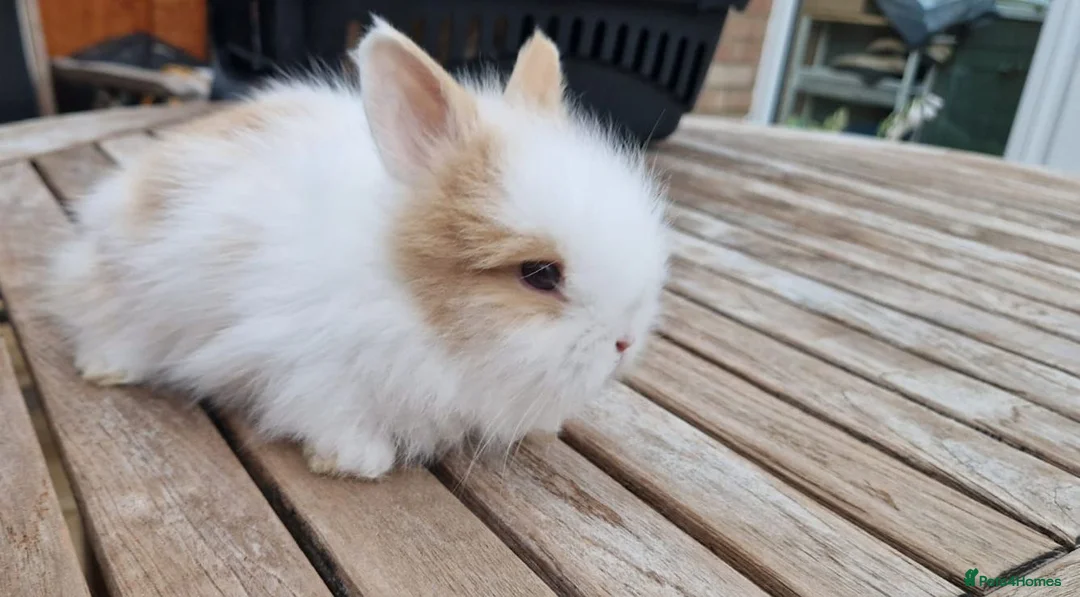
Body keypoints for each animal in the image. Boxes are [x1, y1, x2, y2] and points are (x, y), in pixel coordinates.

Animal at [46, 18, 670, 480]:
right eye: (539, 273)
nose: (625, 343)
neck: (410, 297)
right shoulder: (312, 367)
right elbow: (330, 413)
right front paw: (355, 461)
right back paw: (105, 368)